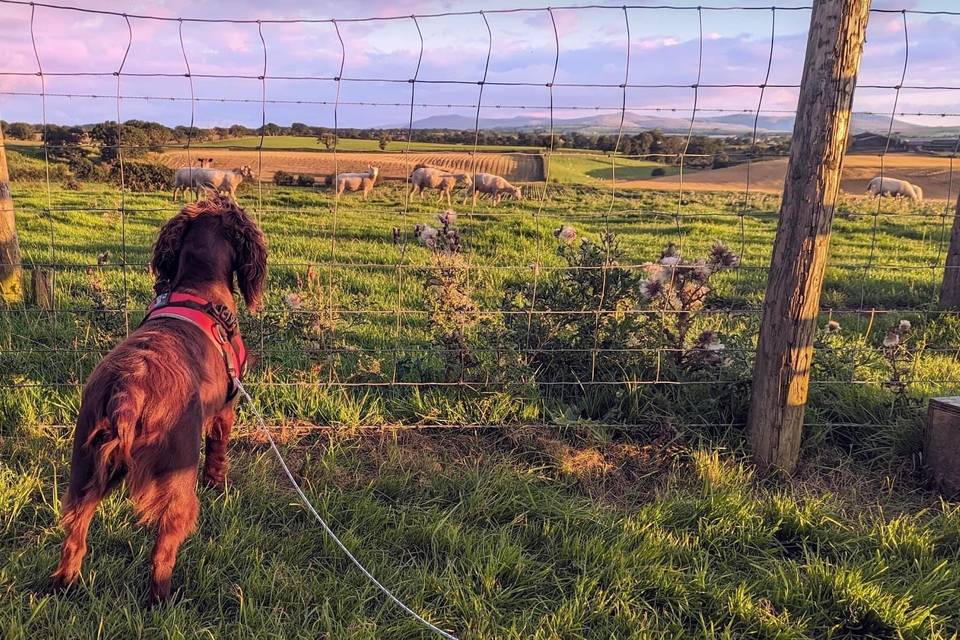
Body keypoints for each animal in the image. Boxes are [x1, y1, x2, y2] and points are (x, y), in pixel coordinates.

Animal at [54, 198, 268, 604]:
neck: (200, 285)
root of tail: (129, 390)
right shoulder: (226, 409)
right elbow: (218, 452)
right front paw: (218, 485)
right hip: (176, 477)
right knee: (163, 549)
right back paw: (163, 599)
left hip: (83, 469)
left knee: (75, 535)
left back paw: (65, 585)